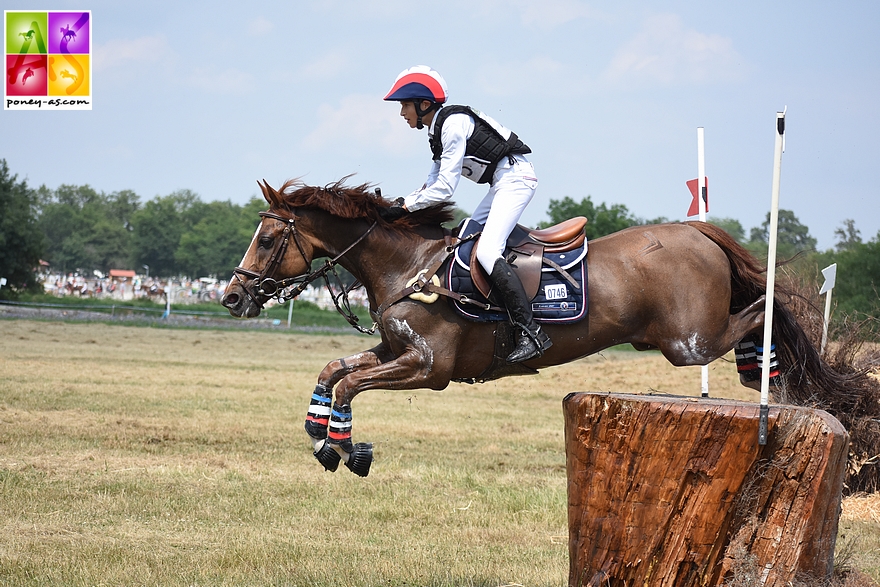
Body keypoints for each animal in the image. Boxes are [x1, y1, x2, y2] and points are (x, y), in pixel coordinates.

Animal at [222, 178, 852, 478]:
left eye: (269, 239)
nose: (232, 297)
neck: (408, 265)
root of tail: (695, 230)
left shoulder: (428, 368)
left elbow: (351, 383)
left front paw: (343, 449)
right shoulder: (396, 349)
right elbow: (335, 369)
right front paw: (318, 430)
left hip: (686, 341)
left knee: (764, 307)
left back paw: (764, 373)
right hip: (676, 339)